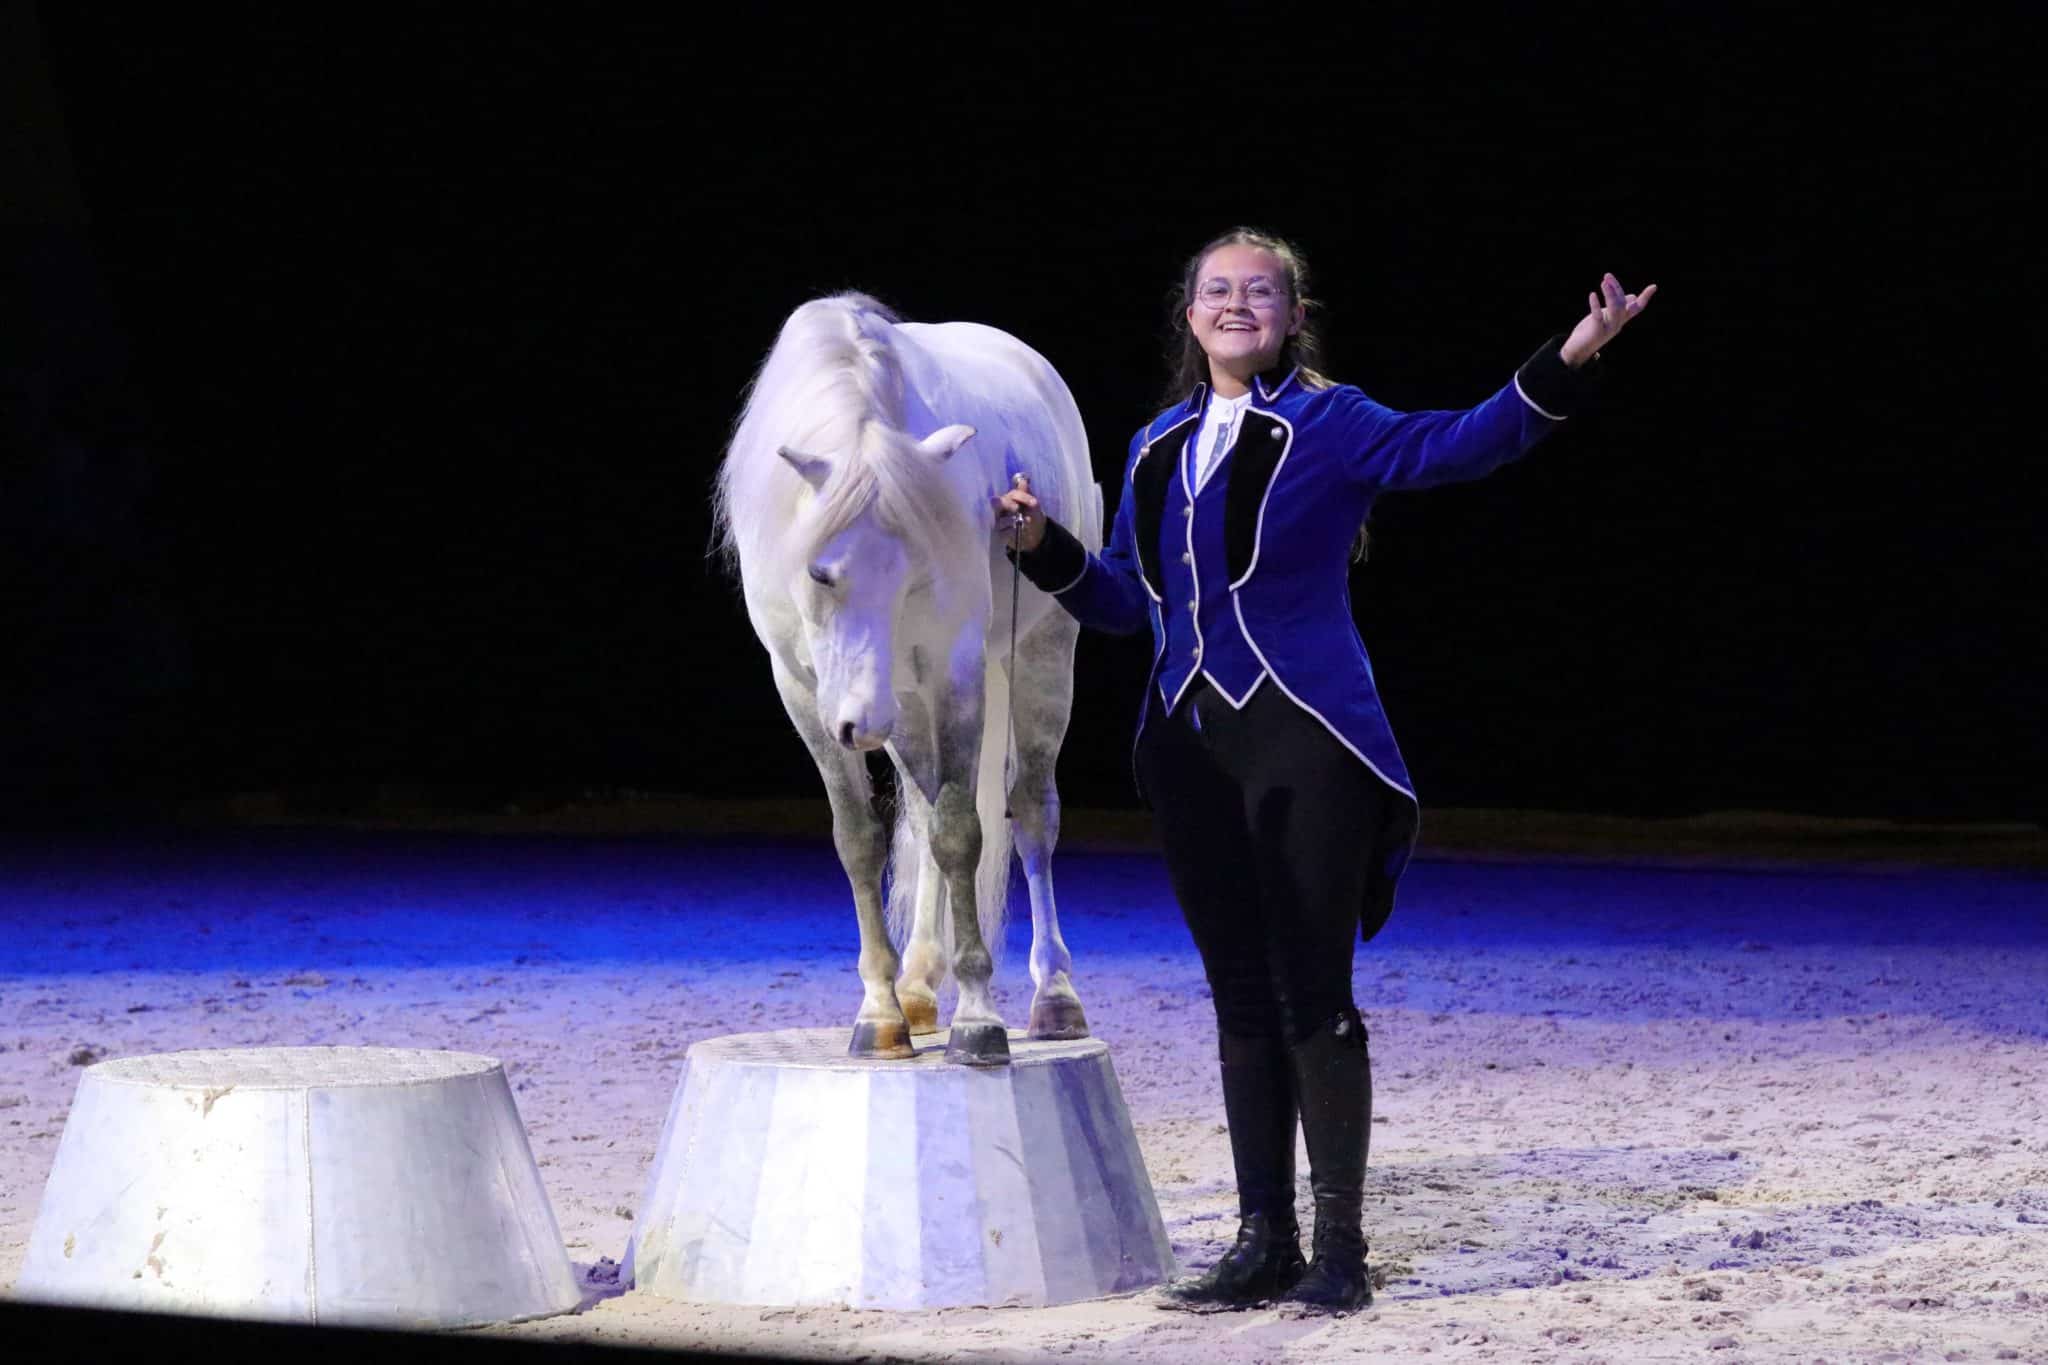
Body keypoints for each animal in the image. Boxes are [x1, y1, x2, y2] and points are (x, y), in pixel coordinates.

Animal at [720, 296, 1105, 1064]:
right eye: (820, 573)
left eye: (914, 571)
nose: (861, 726)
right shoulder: (806, 693)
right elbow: (861, 839)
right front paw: (882, 1012)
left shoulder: (955, 674)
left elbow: (961, 832)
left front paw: (980, 1018)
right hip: (904, 707)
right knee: (924, 820)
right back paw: (921, 988)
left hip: (1039, 658)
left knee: (1031, 814)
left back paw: (1054, 996)